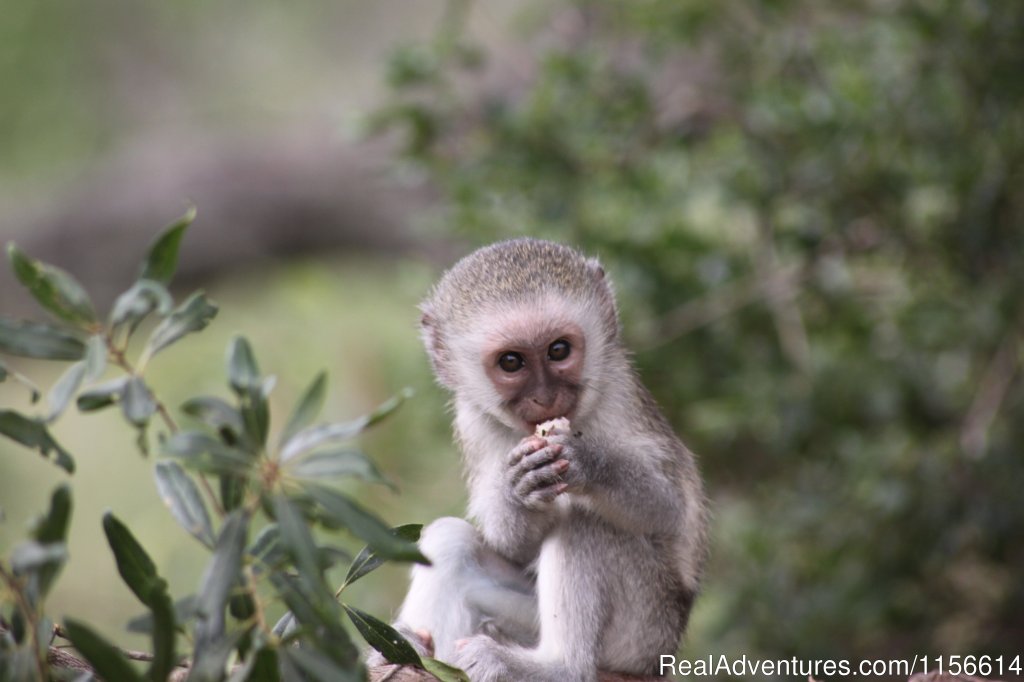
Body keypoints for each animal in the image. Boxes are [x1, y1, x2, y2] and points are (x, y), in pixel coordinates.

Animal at [387, 238, 708, 679]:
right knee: (452, 541)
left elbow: (669, 510)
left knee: (586, 524)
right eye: (511, 362)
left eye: (558, 350)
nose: (545, 397)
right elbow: (512, 546)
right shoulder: (472, 419)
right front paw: (517, 490)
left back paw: (557, 666)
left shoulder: (619, 391)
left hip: (645, 629)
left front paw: (587, 461)